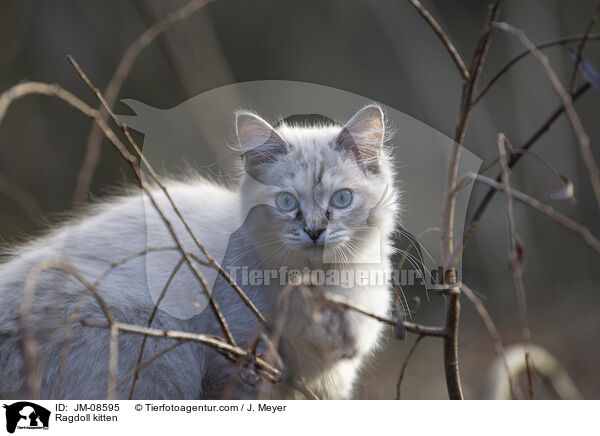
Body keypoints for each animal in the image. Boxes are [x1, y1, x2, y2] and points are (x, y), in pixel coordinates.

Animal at [0, 104, 398, 400]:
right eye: (286, 203)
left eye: (341, 199)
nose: (315, 231)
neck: (321, 288)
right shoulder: (240, 365)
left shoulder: (333, 382)